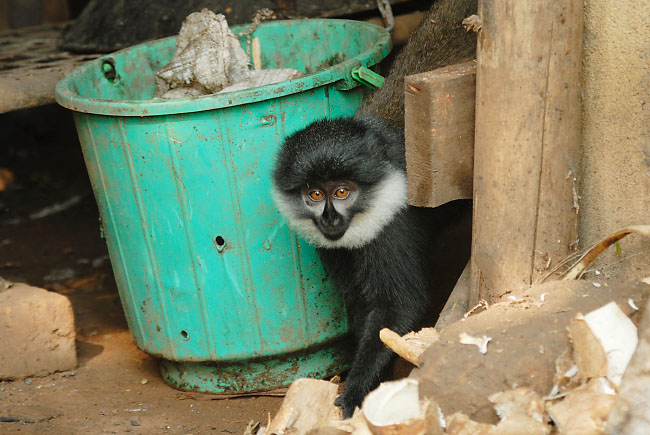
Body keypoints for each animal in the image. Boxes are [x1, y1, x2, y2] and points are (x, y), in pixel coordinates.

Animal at [271, 0, 477, 418]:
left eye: (342, 191)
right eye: (314, 194)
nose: (330, 218)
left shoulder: (392, 231)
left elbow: (396, 311)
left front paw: (353, 395)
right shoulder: (336, 250)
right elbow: (361, 306)